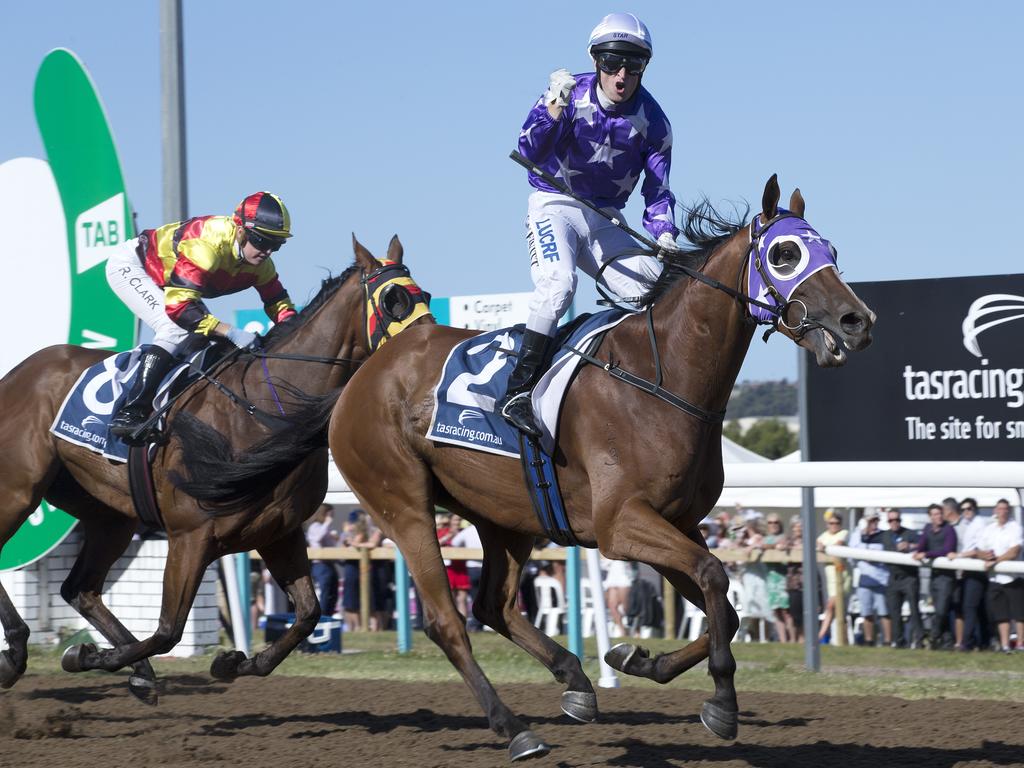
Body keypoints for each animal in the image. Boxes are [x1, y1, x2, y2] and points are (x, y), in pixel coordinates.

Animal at [0, 234, 428, 704]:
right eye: (393, 301)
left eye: (424, 295)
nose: (424, 353)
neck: (265, 410)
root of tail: (17, 374)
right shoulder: (190, 536)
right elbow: (168, 630)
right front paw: (86, 656)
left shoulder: (278, 531)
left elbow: (308, 614)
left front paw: (235, 662)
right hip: (18, 490)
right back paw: (16, 652)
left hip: (109, 514)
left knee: (80, 588)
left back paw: (127, 668)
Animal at [325, 180, 872, 765]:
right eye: (785, 254)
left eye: (831, 250)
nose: (858, 321)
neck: (660, 378)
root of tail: (368, 370)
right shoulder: (620, 524)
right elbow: (714, 577)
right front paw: (723, 702)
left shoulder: (678, 522)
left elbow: (724, 607)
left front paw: (638, 659)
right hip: (403, 503)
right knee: (447, 621)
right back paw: (514, 728)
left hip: (505, 516)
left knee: (494, 603)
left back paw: (576, 682)